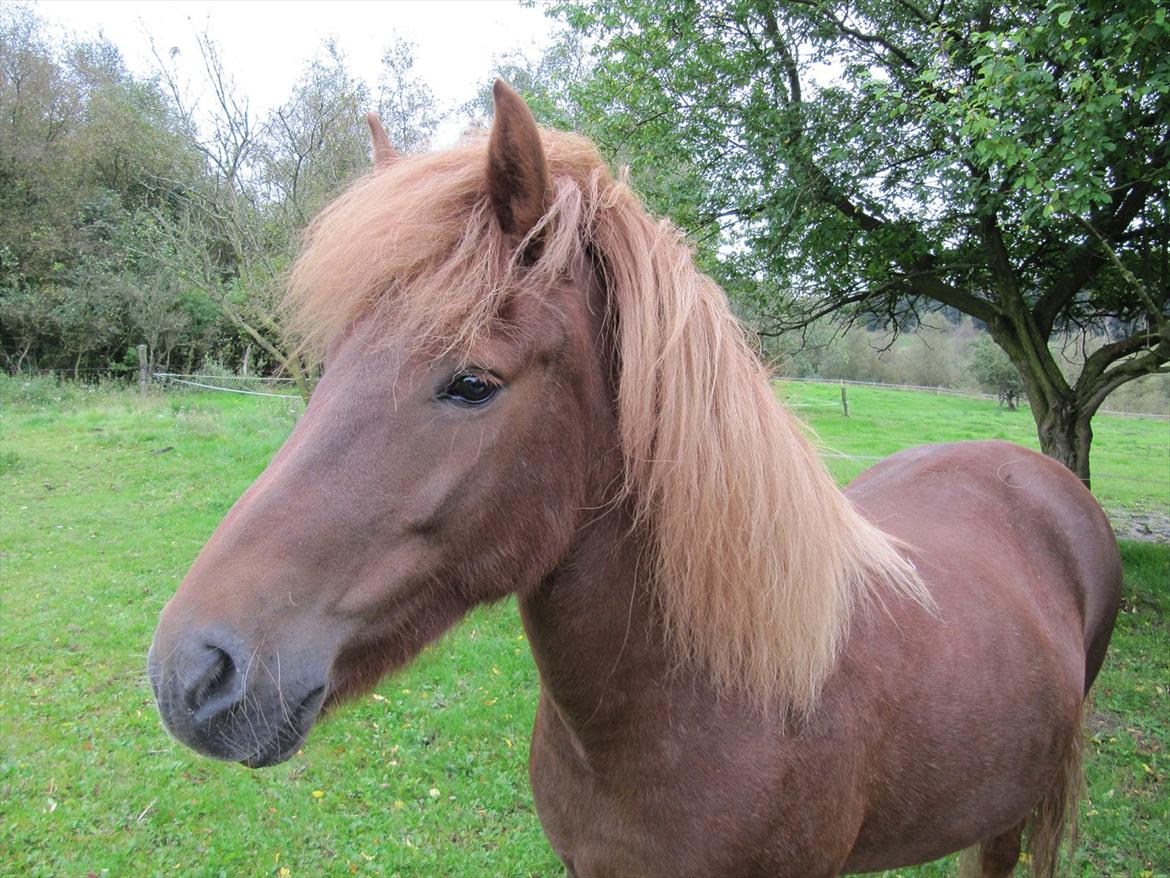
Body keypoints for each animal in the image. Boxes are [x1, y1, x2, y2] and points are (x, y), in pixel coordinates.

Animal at [150, 82, 1118, 878]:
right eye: (331, 362)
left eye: (473, 383)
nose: (190, 674)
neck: (716, 704)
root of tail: (1040, 474)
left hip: (1010, 812)